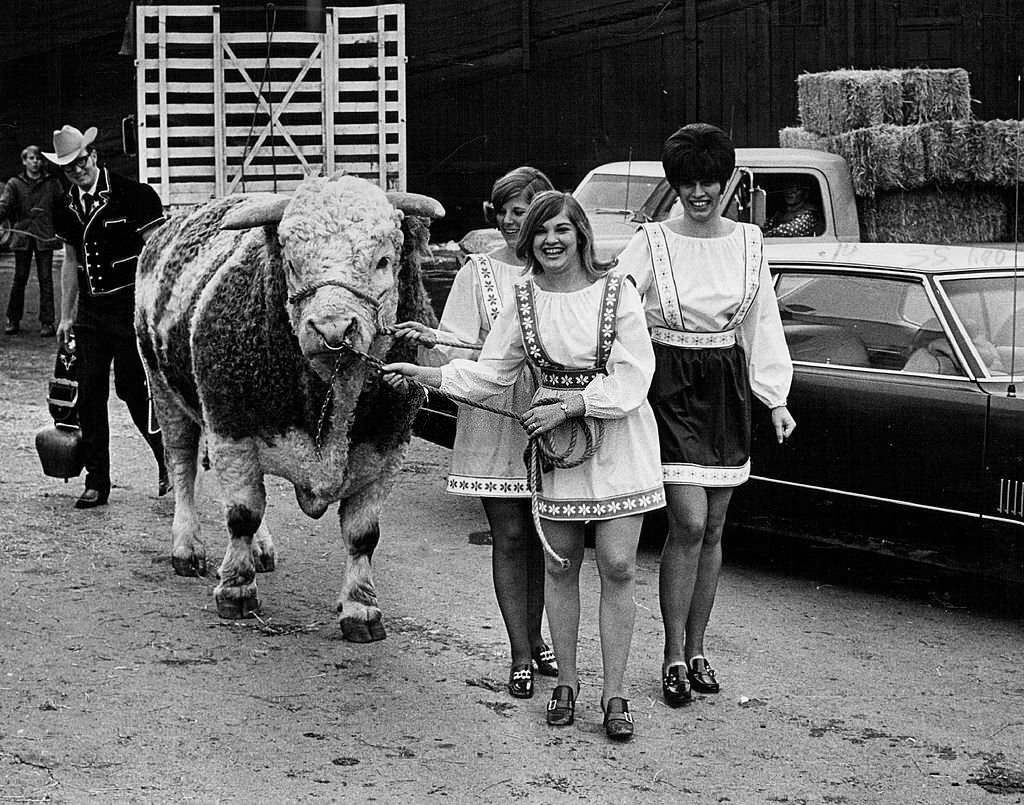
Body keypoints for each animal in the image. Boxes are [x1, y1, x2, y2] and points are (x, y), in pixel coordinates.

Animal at [134, 172, 442, 634]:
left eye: (383, 261)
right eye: (293, 264)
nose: (332, 329)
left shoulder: (388, 450)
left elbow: (362, 534)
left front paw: (360, 607)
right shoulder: (231, 430)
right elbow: (242, 513)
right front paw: (236, 590)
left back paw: (261, 550)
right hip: (165, 391)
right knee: (183, 465)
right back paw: (187, 548)